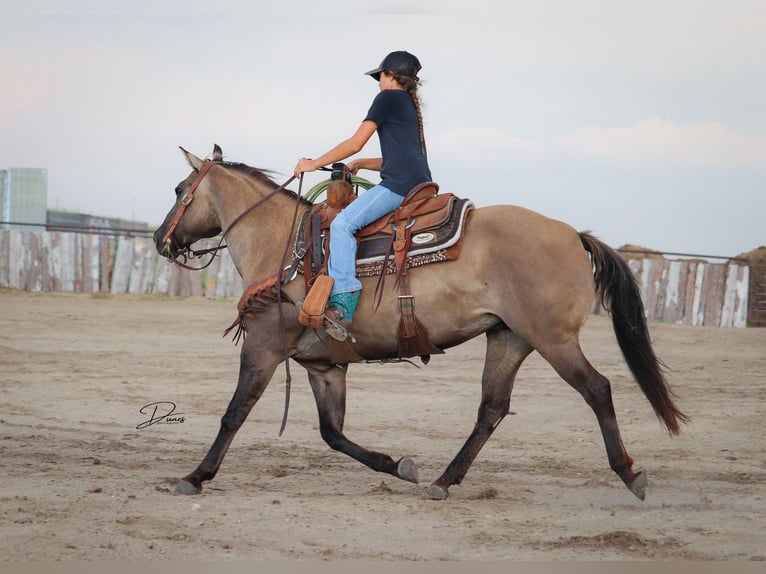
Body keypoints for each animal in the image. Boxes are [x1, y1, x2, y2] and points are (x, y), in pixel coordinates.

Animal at [153, 145, 688, 504]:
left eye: (179, 191)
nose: (161, 239)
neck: (284, 245)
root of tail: (573, 235)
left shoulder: (263, 348)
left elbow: (233, 413)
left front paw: (196, 476)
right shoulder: (325, 366)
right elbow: (332, 432)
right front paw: (397, 466)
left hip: (554, 340)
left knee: (597, 389)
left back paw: (629, 474)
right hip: (509, 338)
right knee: (492, 408)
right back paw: (443, 481)